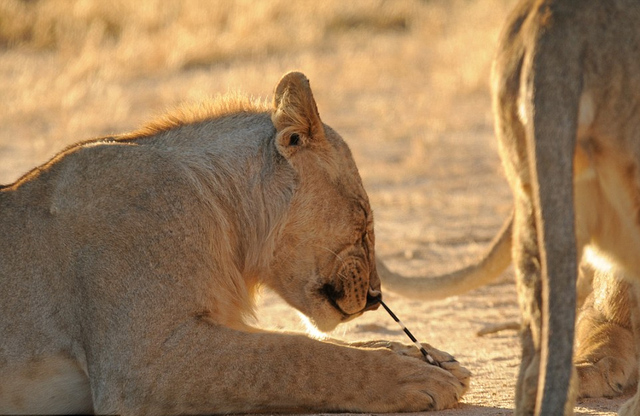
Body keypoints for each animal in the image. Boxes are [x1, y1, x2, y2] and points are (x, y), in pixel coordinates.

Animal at [0, 72, 470, 416]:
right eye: (364, 220)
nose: (375, 297)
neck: (224, 219)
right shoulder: (138, 366)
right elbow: (297, 355)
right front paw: (418, 376)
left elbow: (315, 343)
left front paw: (422, 355)